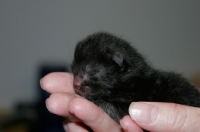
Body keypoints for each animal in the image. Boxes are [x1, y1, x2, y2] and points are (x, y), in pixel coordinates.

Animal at [71, 32, 199, 122]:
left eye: (93, 71)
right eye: (73, 68)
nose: (75, 84)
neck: (131, 82)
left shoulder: (130, 105)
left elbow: (110, 107)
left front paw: (94, 99)